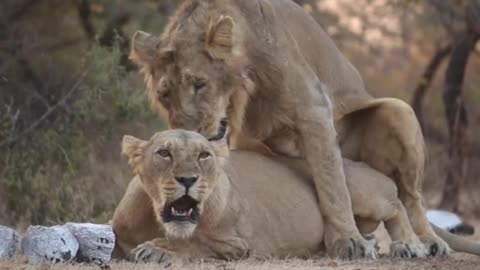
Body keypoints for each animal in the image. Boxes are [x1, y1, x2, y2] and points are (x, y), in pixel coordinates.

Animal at [111, 130, 480, 264]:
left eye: (204, 155)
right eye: (163, 153)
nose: (188, 179)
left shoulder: (238, 244)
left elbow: (194, 243)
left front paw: (157, 251)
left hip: (355, 188)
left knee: (398, 205)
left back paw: (409, 246)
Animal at [130, 0, 446, 258]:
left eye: (200, 84)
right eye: (164, 95)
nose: (189, 131)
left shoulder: (314, 108)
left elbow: (333, 185)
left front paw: (348, 240)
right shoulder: (244, 139)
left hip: (399, 110)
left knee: (409, 196)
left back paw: (420, 243)